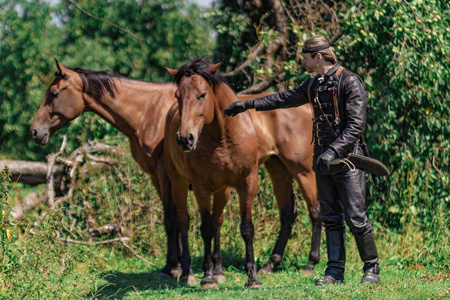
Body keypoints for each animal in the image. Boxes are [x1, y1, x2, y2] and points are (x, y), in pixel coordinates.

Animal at [29, 59, 182, 280]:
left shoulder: (166, 175)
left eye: (54, 93)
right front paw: (174, 266)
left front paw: (174, 267)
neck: (151, 112)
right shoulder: (156, 176)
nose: (34, 131)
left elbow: (172, 217)